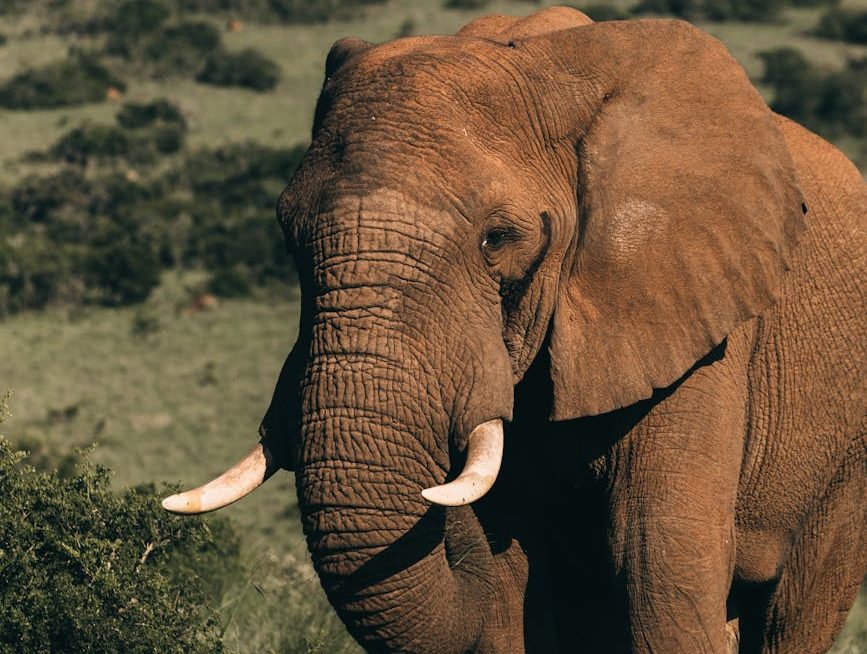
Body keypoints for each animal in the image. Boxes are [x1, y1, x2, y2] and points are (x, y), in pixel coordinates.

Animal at [163, 7, 866, 654]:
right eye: (287, 233)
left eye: (498, 239)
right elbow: (509, 581)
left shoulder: (697, 325)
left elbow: (656, 564)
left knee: (793, 608)